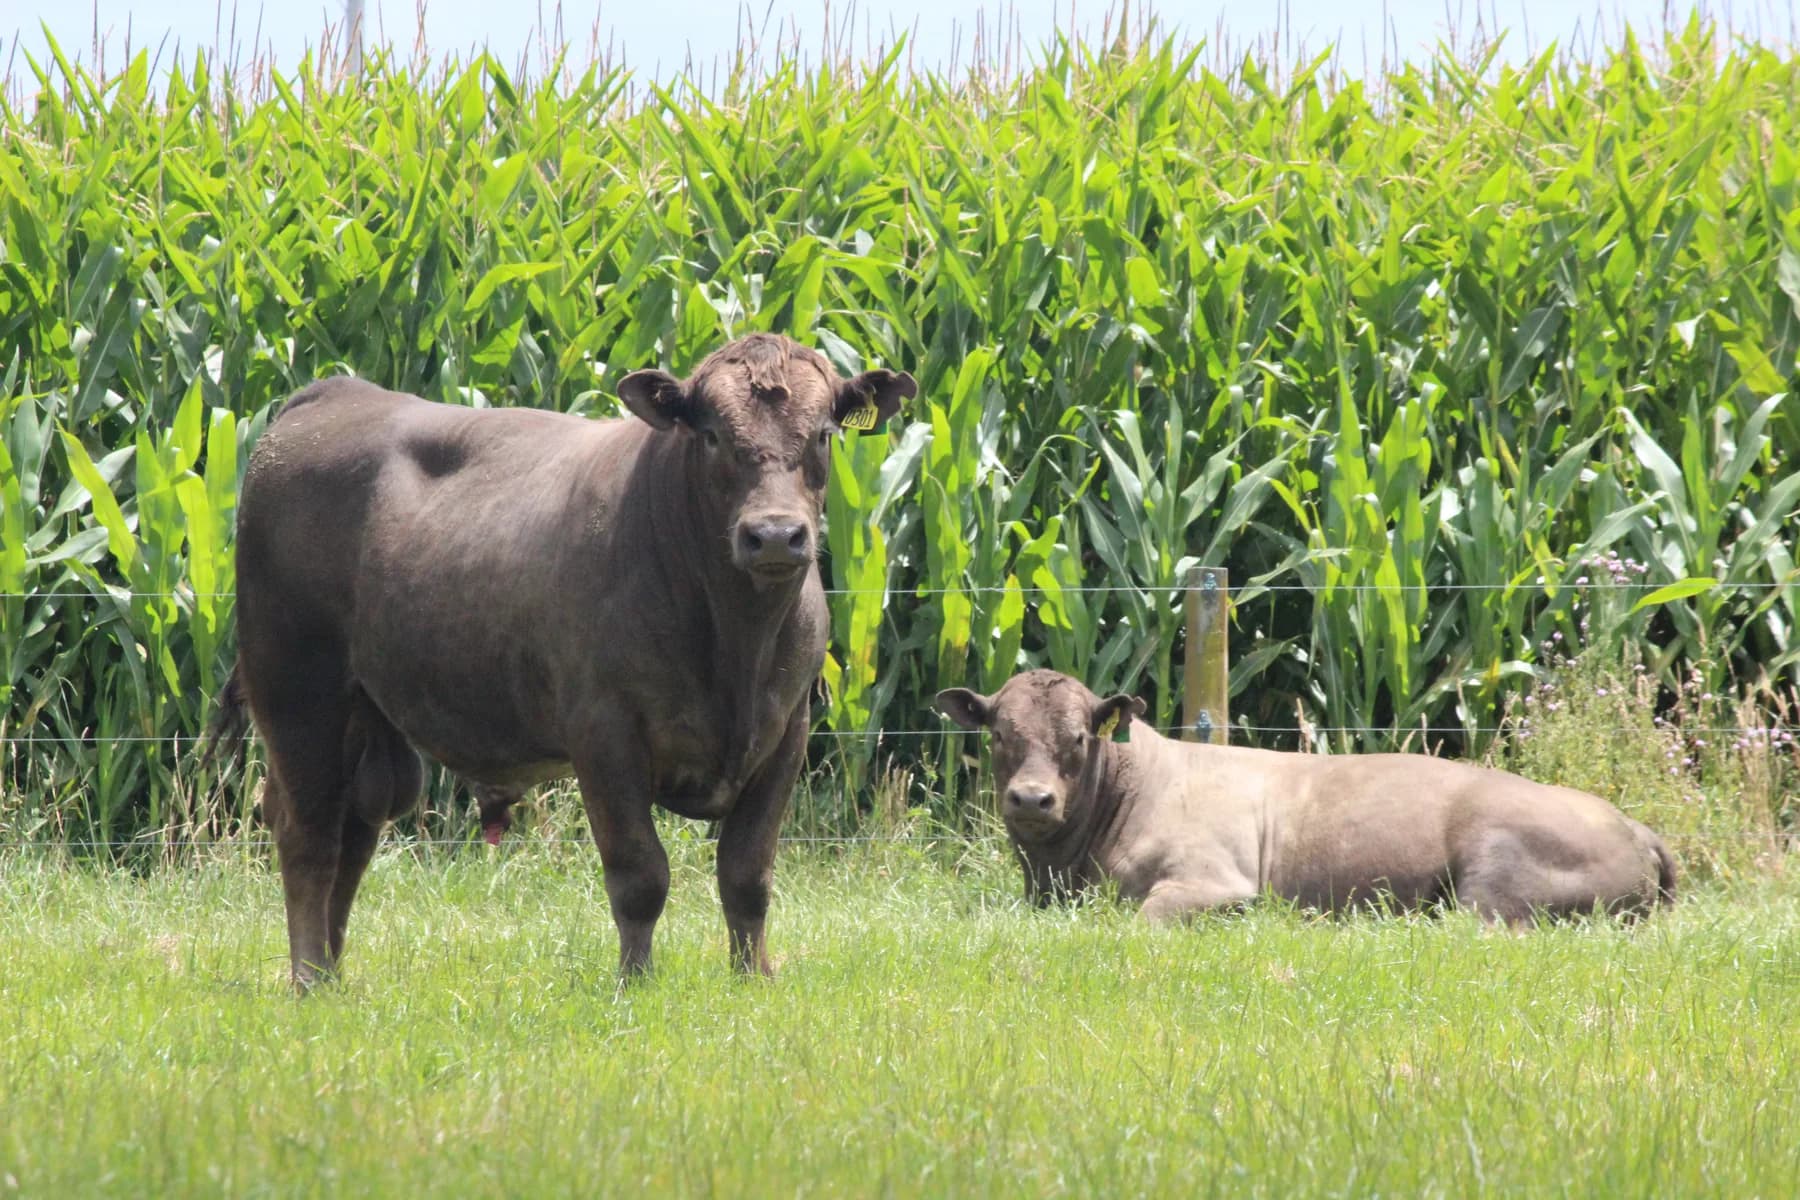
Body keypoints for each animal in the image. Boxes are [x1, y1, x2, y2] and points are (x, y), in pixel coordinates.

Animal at [211, 333, 915, 989]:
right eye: (712, 434)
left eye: (824, 433)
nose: (773, 535)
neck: (736, 639)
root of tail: (331, 394)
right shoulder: (604, 730)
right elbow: (640, 873)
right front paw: (637, 982)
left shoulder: (787, 728)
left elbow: (747, 873)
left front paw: (752, 978)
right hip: (298, 690)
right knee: (306, 831)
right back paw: (307, 977)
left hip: (368, 716)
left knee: (355, 829)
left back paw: (333, 976)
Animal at [934, 669, 1675, 924]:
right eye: (999, 733)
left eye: (1079, 737)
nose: (1032, 800)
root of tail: (1634, 825)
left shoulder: (1217, 882)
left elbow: (1142, 917)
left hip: (1493, 876)